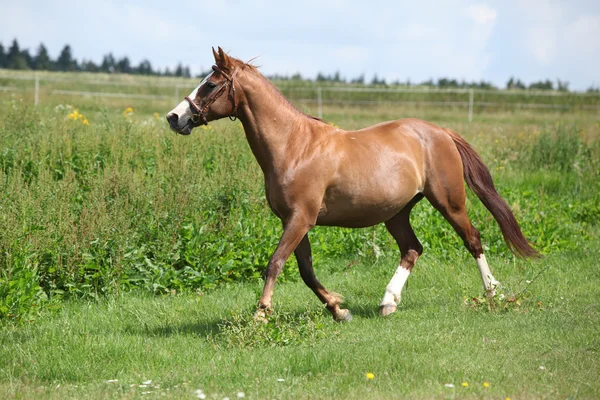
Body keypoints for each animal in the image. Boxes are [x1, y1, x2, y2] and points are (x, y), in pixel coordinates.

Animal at [165, 47, 540, 322]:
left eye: (210, 84)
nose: (174, 117)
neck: (293, 146)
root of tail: (440, 132)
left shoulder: (300, 219)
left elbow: (275, 263)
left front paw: (261, 313)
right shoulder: (295, 221)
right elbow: (305, 271)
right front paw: (338, 309)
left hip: (449, 202)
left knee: (473, 239)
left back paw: (492, 293)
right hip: (397, 213)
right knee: (412, 249)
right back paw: (388, 303)